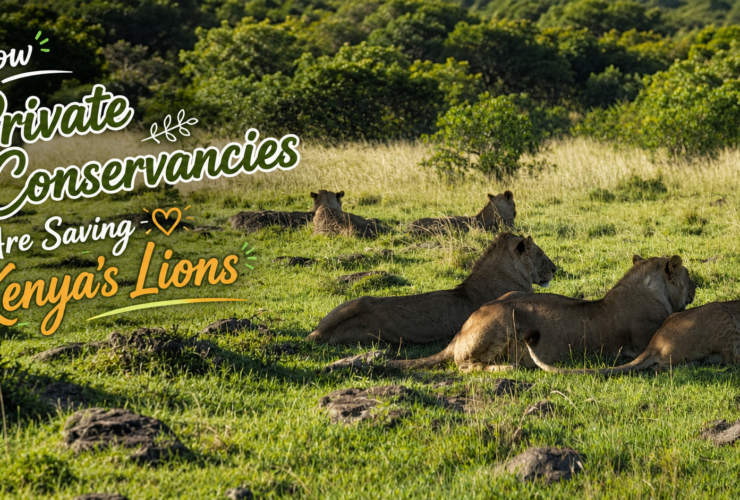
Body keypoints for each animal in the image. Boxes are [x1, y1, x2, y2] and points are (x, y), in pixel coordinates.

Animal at [387, 255, 697, 372]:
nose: (696, 287)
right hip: (505, 316)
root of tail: (460, 332)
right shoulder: (643, 342)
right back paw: (508, 367)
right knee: (464, 365)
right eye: (689, 275)